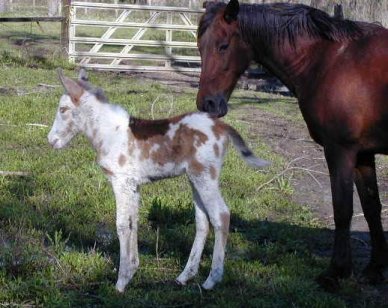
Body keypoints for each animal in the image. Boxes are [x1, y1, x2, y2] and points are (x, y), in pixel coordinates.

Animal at [47, 70, 268, 292]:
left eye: (63, 109)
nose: (51, 141)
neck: (110, 133)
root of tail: (220, 125)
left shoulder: (120, 181)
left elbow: (121, 225)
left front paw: (120, 283)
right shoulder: (132, 186)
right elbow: (132, 223)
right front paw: (131, 271)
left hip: (205, 176)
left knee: (221, 215)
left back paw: (211, 280)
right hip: (195, 178)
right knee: (203, 222)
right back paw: (185, 276)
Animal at [197, 0, 388, 290]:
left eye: (223, 45)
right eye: (199, 45)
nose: (207, 104)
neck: (330, 60)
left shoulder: (340, 151)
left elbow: (342, 209)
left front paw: (336, 272)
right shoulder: (363, 155)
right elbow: (371, 208)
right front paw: (374, 269)